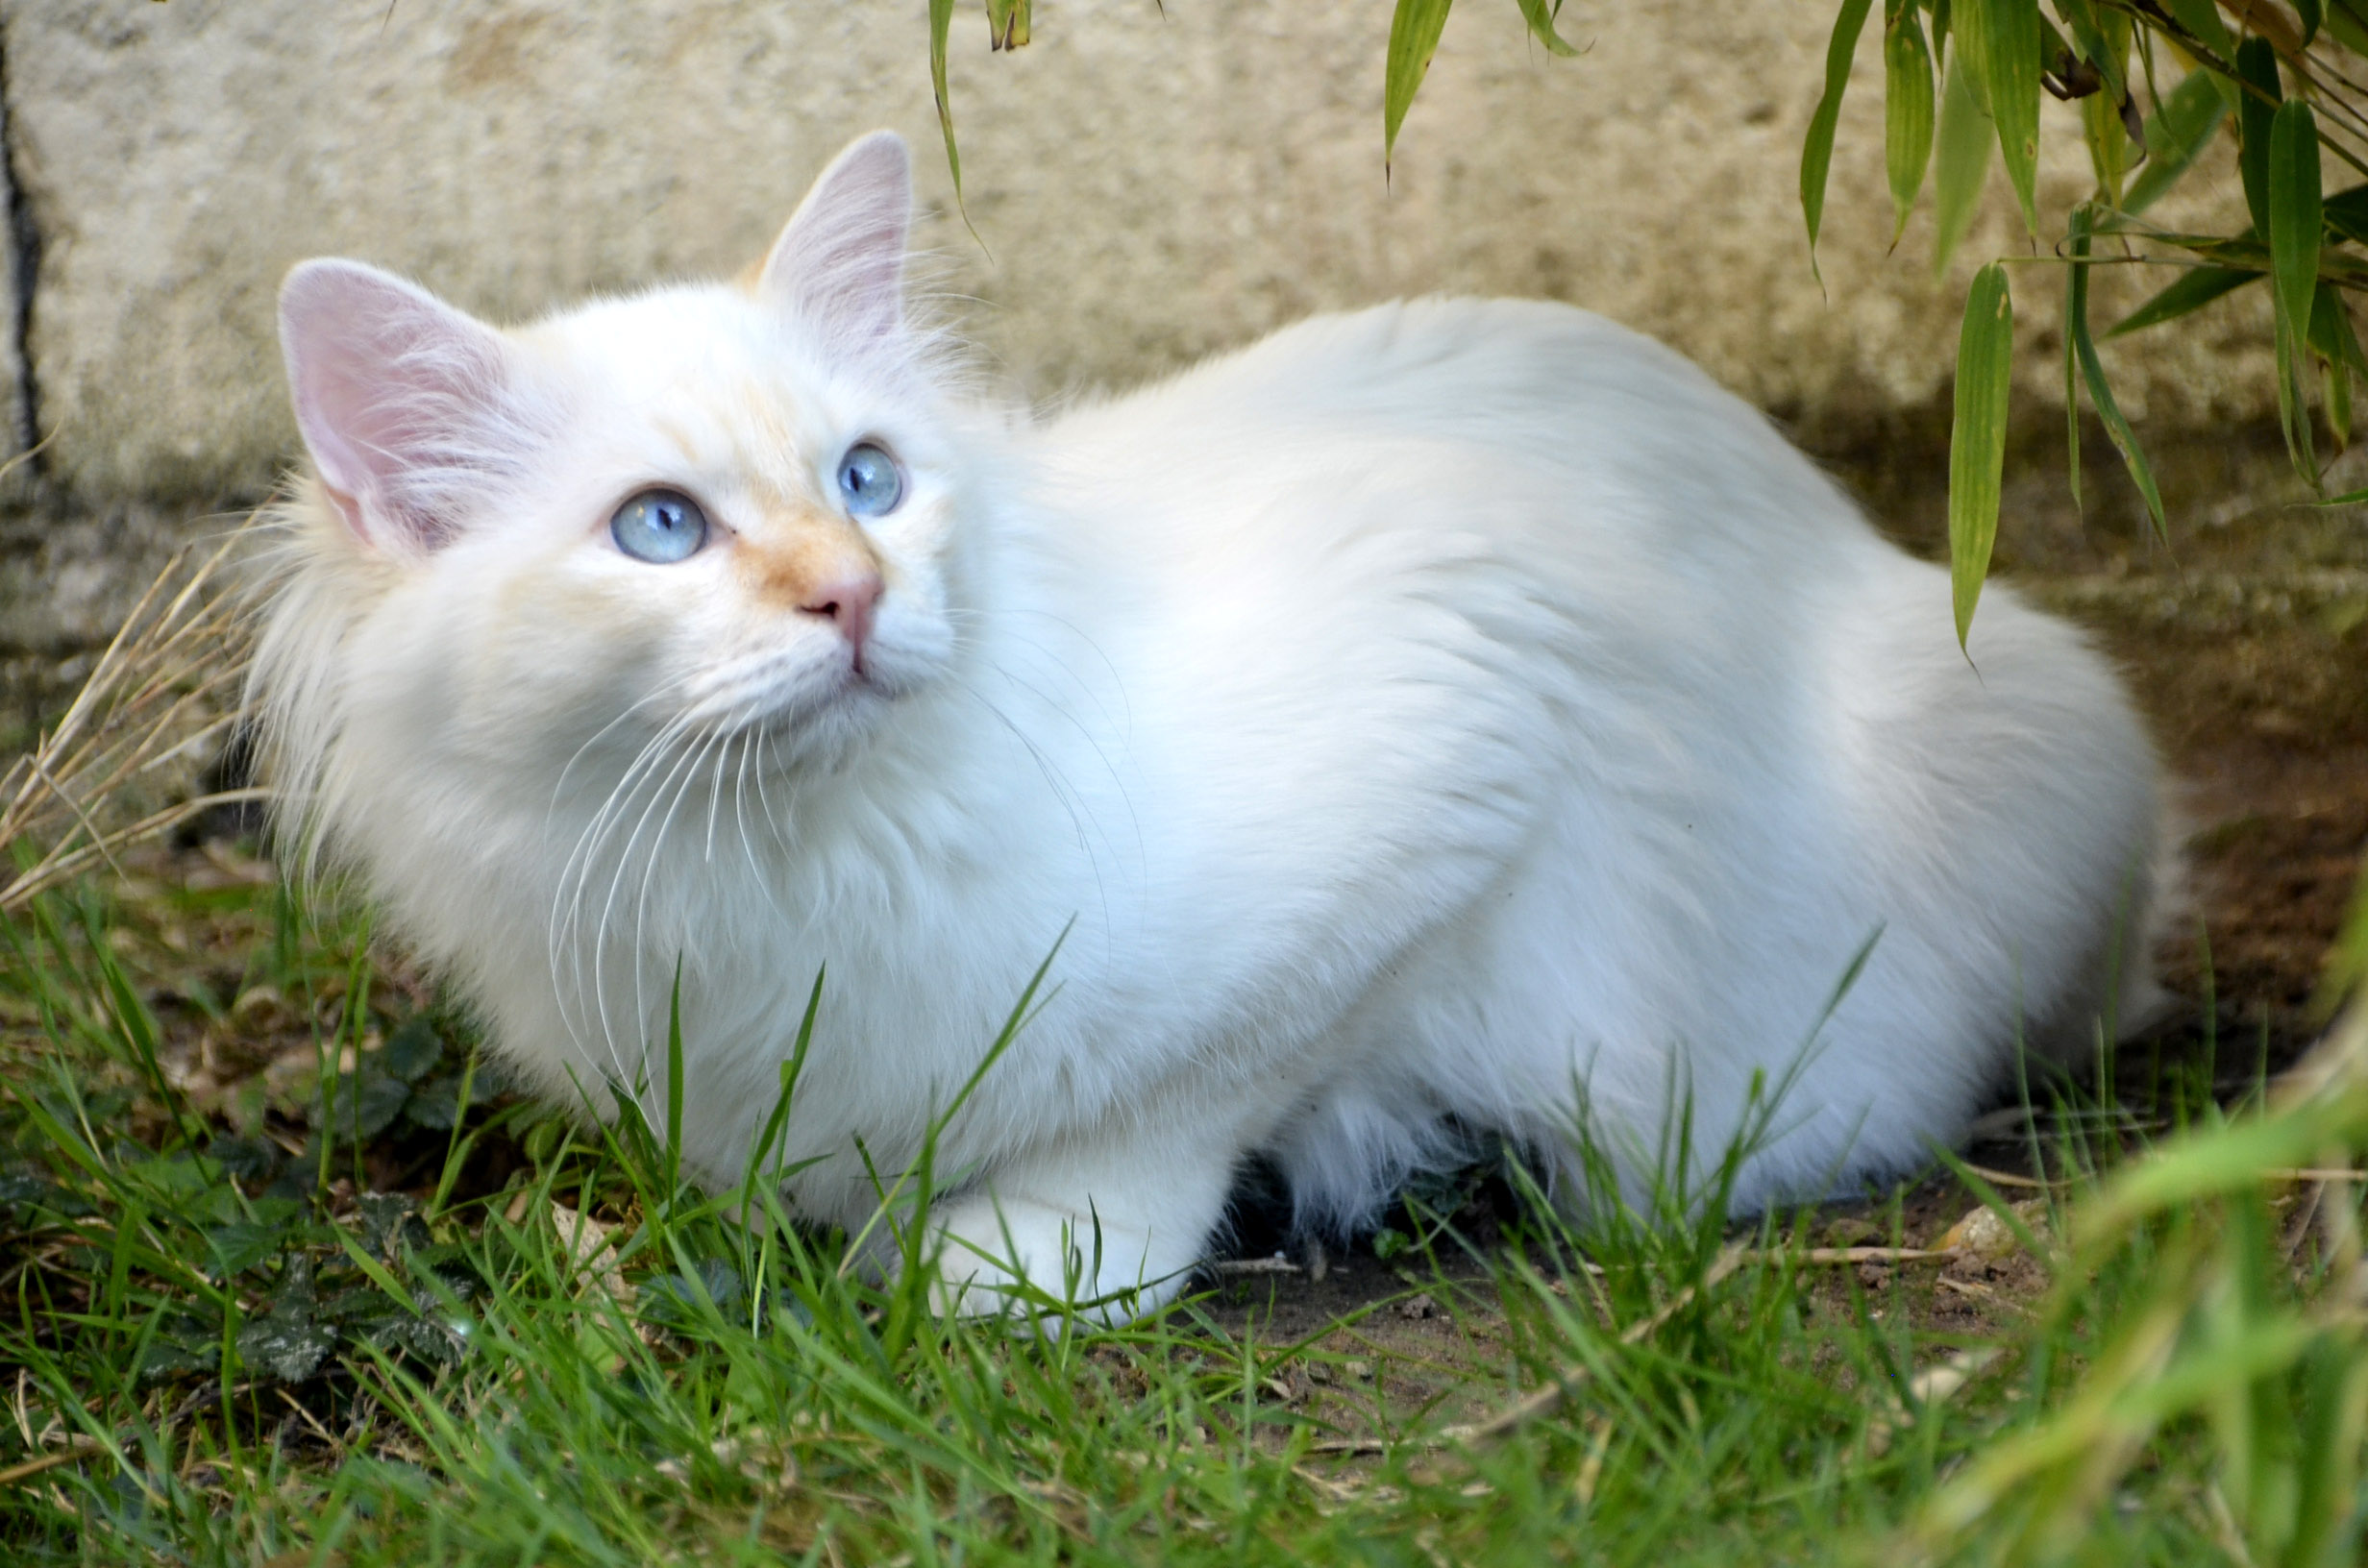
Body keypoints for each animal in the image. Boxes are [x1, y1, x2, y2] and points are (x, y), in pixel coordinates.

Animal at [249, 129, 2159, 1316]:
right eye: (660, 529)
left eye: (868, 480)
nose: (850, 595)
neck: (787, 862)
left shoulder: (1460, 739)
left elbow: (1171, 1106)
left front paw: (1011, 1272)